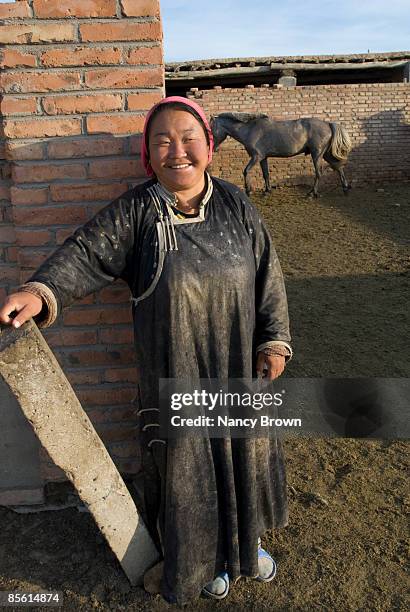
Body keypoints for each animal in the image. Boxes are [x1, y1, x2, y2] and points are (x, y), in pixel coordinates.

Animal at [211, 110, 352, 196]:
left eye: (211, 128)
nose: (213, 148)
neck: (250, 129)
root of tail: (328, 124)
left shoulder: (256, 157)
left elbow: (246, 171)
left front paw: (248, 190)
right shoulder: (263, 158)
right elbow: (266, 174)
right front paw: (267, 191)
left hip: (316, 155)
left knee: (319, 173)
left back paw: (312, 193)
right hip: (325, 154)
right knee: (338, 167)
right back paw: (345, 188)